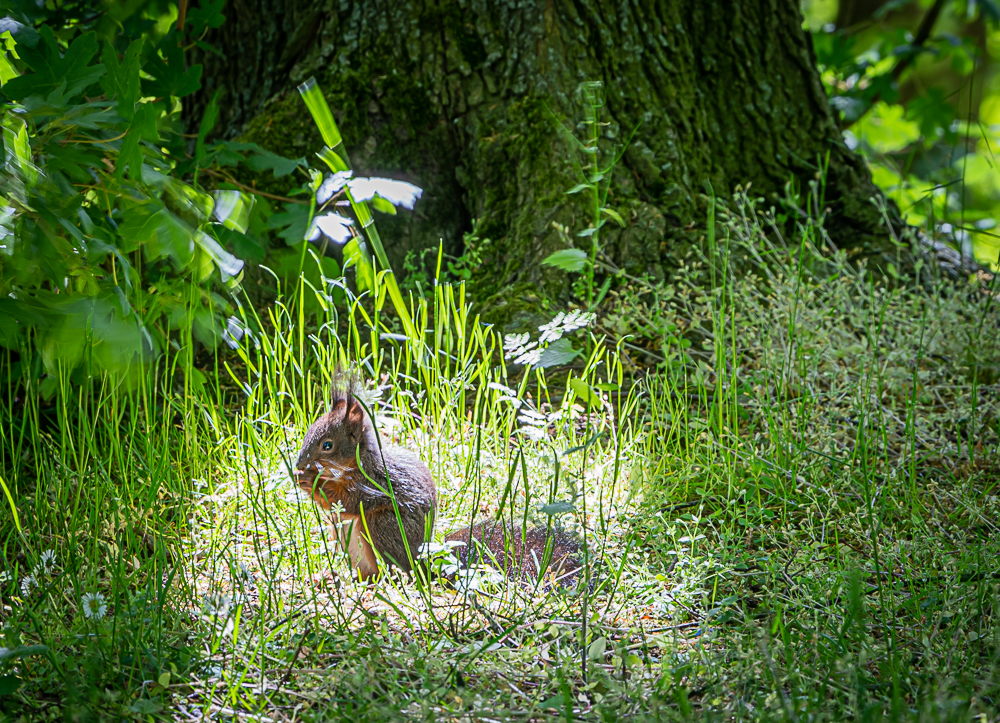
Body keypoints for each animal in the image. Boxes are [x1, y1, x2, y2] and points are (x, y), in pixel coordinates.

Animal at [292, 376, 584, 584]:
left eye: (327, 445)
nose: (299, 465)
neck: (353, 465)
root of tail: (423, 563)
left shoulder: (374, 482)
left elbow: (350, 501)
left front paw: (313, 483)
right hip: (342, 535)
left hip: (382, 527)